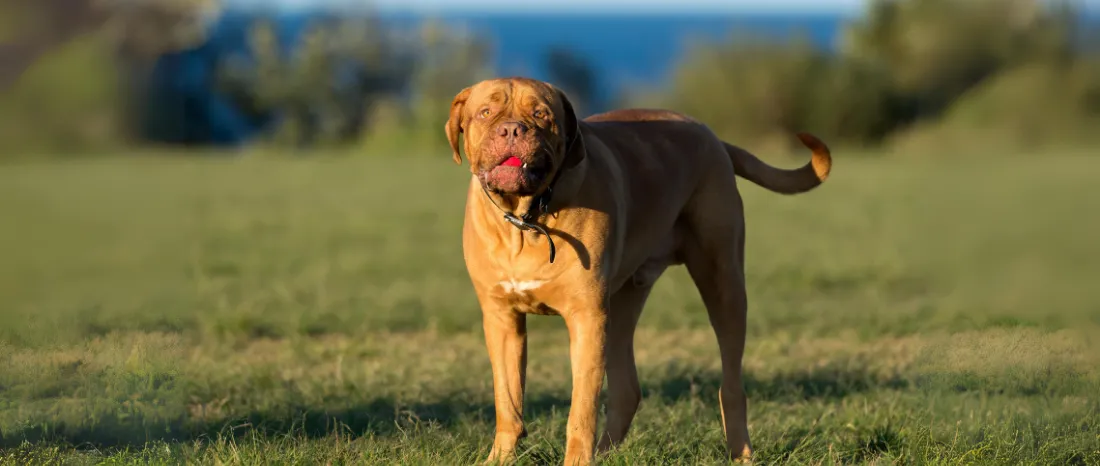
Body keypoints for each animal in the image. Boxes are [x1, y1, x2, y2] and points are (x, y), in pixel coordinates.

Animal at [442, 78, 827, 463]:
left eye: (541, 114)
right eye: (485, 113)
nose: (511, 129)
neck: (526, 220)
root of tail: (712, 137)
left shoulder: (587, 317)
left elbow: (581, 409)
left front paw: (577, 460)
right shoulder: (502, 319)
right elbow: (508, 400)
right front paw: (500, 458)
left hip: (723, 282)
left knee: (731, 384)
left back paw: (741, 453)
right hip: (623, 303)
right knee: (627, 389)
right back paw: (607, 453)